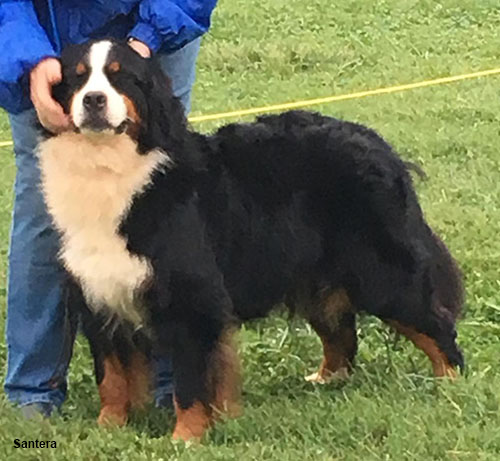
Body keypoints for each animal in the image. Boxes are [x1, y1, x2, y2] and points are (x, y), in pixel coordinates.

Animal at [38, 38, 464, 438]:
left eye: (120, 76)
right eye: (77, 78)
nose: (93, 100)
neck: (109, 171)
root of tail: (381, 147)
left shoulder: (194, 300)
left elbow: (190, 383)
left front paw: (186, 436)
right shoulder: (98, 296)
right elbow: (111, 376)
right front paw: (108, 427)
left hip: (381, 273)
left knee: (437, 326)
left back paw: (449, 385)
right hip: (312, 275)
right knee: (342, 333)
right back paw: (326, 381)